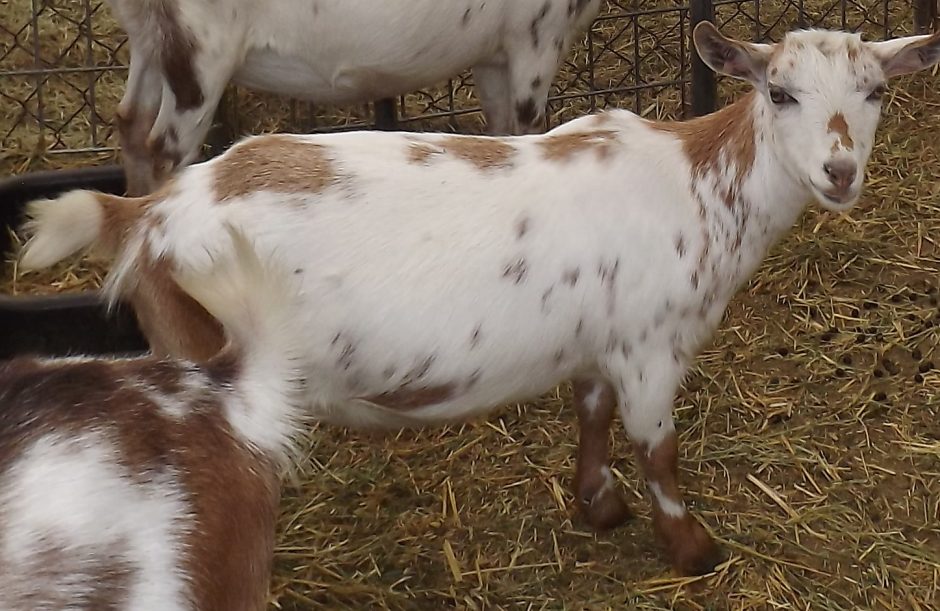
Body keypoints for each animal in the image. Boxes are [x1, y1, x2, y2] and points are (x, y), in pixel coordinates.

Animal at [19, 23, 940, 576]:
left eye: (876, 92)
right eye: (779, 92)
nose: (839, 172)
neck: (699, 185)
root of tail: (147, 214)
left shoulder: (597, 338)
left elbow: (591, 414)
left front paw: (598, 504)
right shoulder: (651, 344)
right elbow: (661, 451)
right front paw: (692, 547)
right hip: (202, 346)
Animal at [106, 0, 602, 195]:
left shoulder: (494, 55)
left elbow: (500, 138)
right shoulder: (538, 36)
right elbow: (530, 131)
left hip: (151, 40)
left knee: (130, 123)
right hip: (200, 54)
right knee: (163, 152)